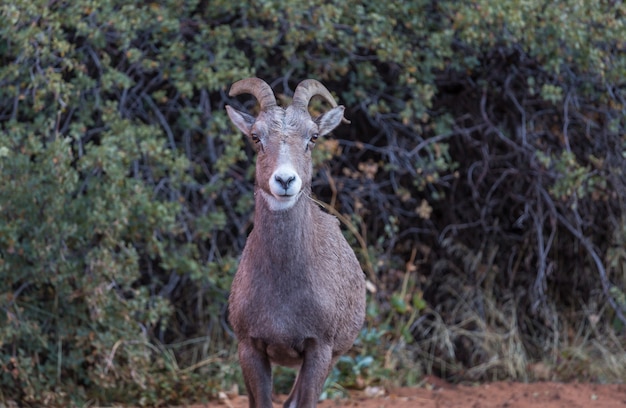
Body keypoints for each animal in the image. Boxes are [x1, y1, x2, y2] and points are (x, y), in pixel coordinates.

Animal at [227, 77, 366, 408]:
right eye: (256, 137)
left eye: (313, 137)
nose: (285, 181)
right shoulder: (249, 348)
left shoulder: (319, 350)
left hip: (332, 358)